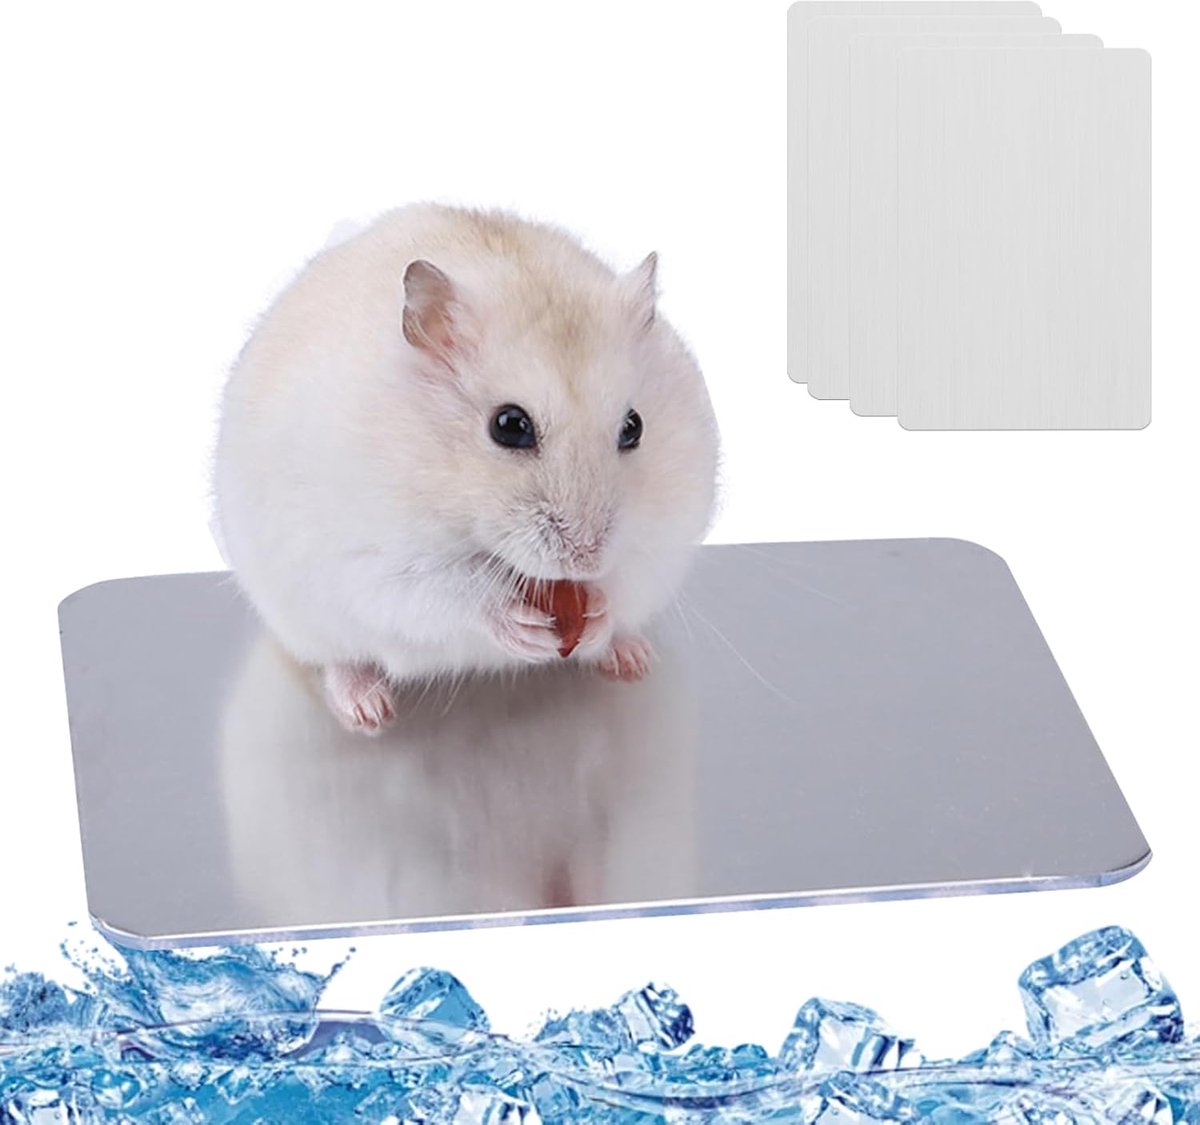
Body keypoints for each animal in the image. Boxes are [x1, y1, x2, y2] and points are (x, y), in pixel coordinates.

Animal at [212, 203, 720, 734]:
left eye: (633, 427)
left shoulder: (661, 539)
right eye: (510, 426)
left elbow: (625, 579)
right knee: (340, 659)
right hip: (306, 619)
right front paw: (523, 626)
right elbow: (448, 591)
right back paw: (368, 710)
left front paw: (599, 612)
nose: (587, 558)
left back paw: (631, 658)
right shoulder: (373, 559)